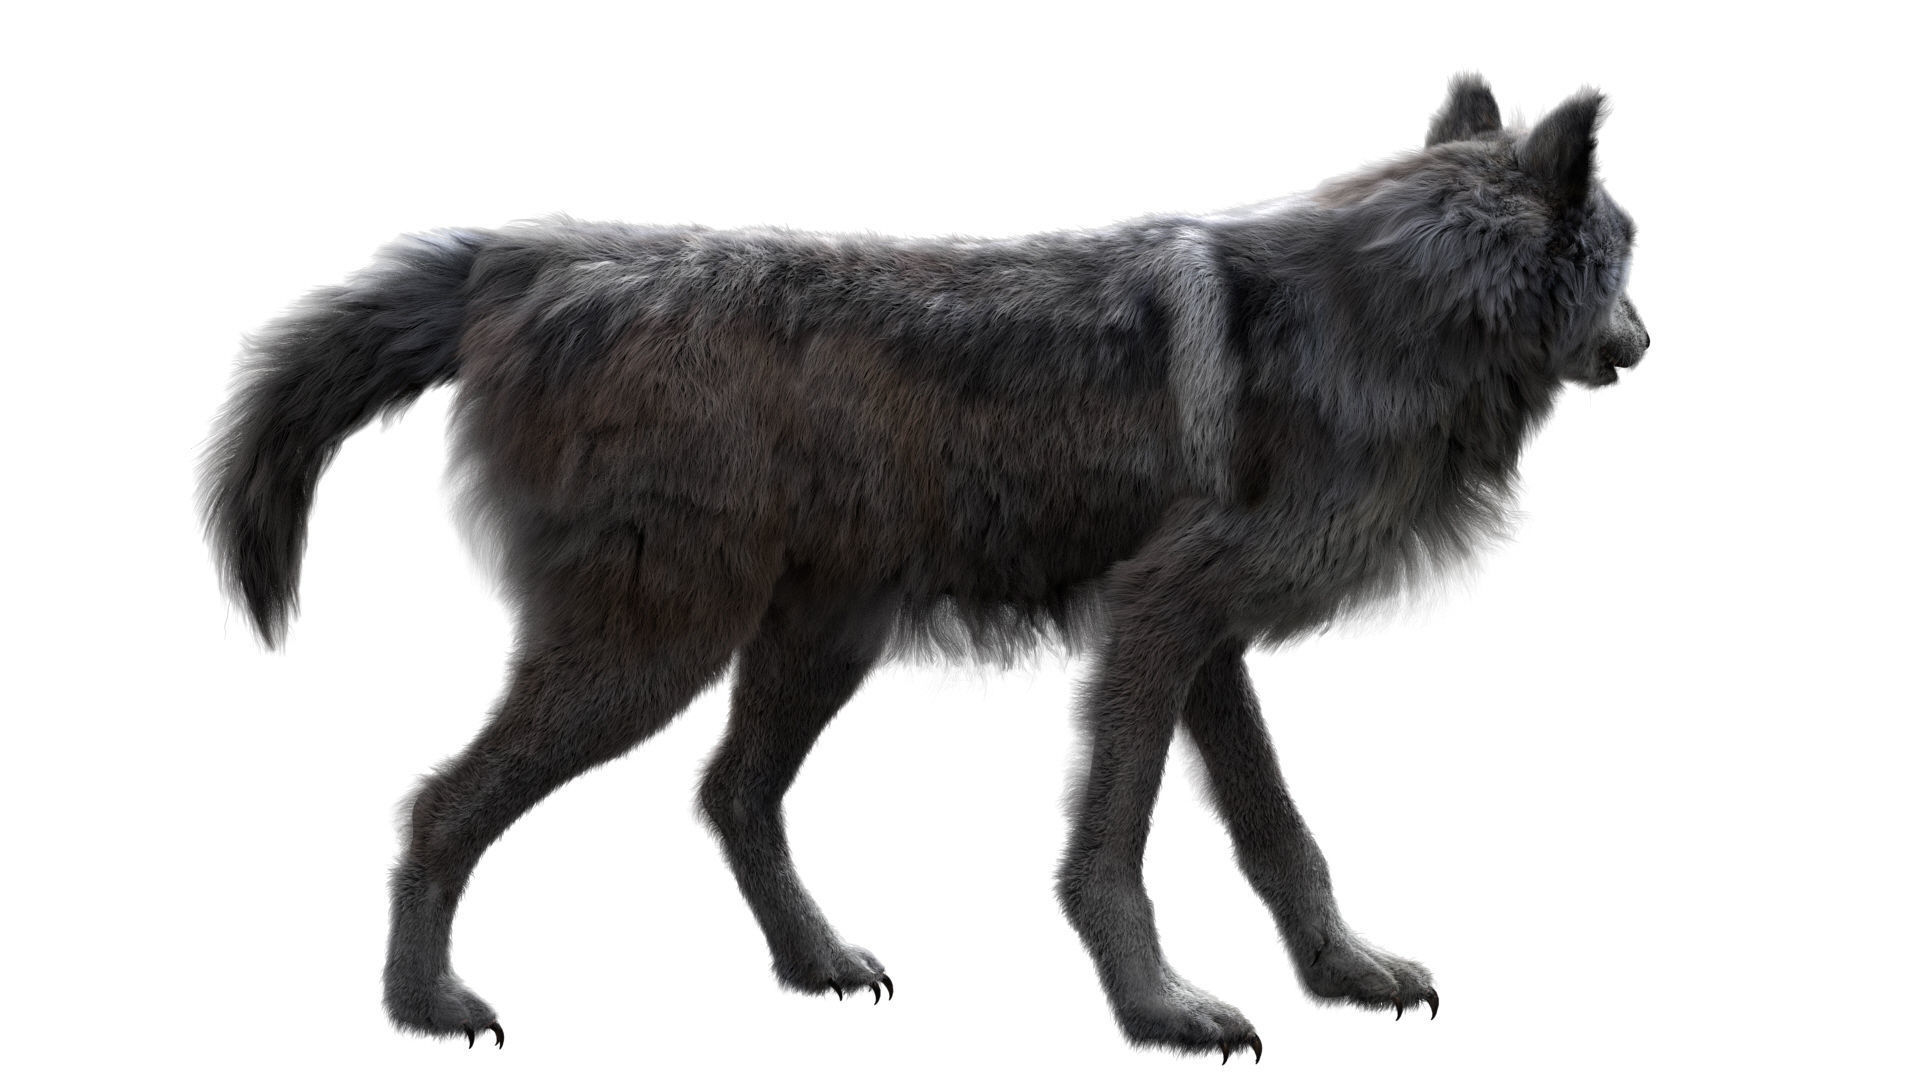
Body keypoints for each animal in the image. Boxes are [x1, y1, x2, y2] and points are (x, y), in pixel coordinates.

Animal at [200, 75, 1647, 1059]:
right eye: (1625, 254)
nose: (1645, 340)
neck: (1386, 316)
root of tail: (525, 260)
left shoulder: (1202, 642)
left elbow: (1279, 832)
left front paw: (1344, 972)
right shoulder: (1161, 622)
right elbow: (1117, 843)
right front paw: (1159, 1011)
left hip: (810, 646)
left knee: (730, 793)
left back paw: (815, 964)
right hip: (654, 656)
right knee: (443, 805)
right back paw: (424, 1008)